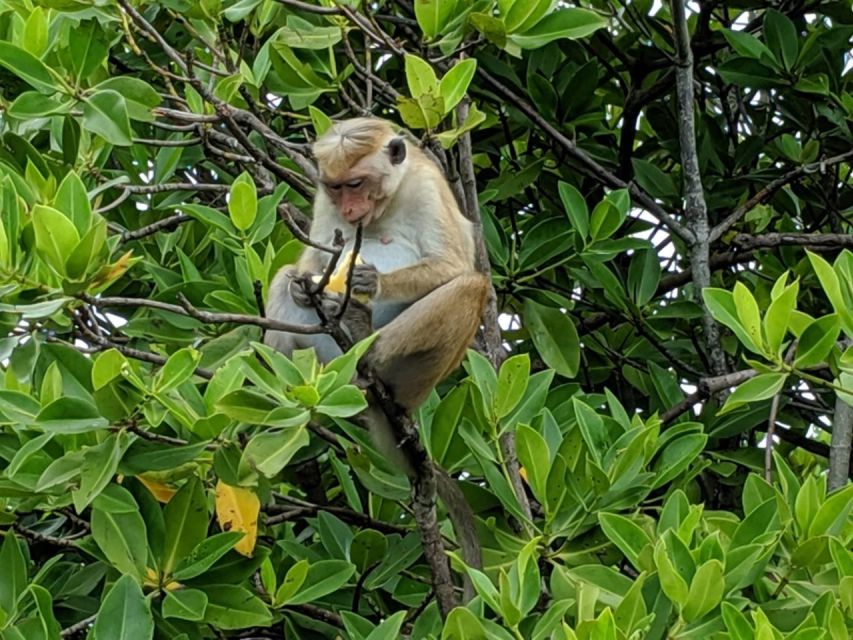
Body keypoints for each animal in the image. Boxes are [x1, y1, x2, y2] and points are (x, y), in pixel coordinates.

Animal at [266, 116, 492, 596]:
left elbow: (455, 264)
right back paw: (285, 395)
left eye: (357, 183)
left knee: (470, 287)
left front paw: (371, 282)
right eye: (336, 188)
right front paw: (304, 286)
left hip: (414, 380)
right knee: (282, 277)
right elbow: (310, 260)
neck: (389, 199)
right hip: (319, 357)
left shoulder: (427, 187)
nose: (351, 211)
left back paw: (367, 351)